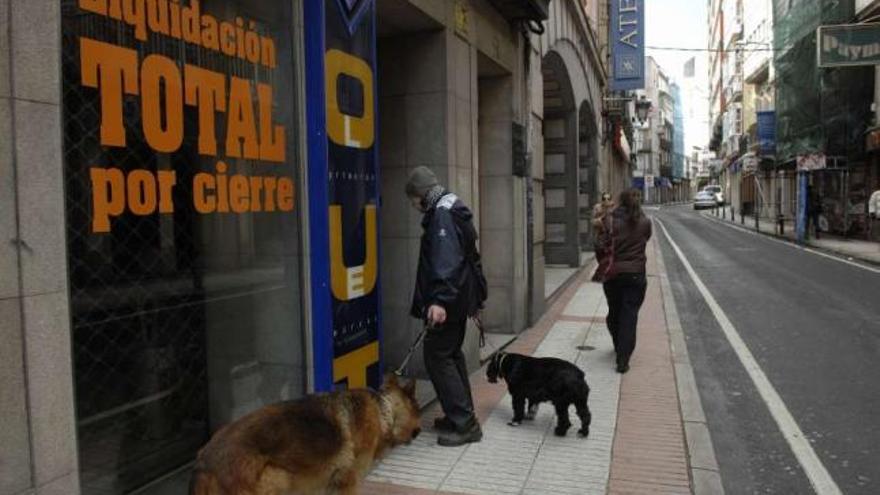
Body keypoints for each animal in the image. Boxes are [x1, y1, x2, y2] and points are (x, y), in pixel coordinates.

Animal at [188, 376, 420, 495]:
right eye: (417, 411)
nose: (419, 432)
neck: (384, 409)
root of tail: (204, 461)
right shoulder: (348, 482)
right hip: (278, 477)